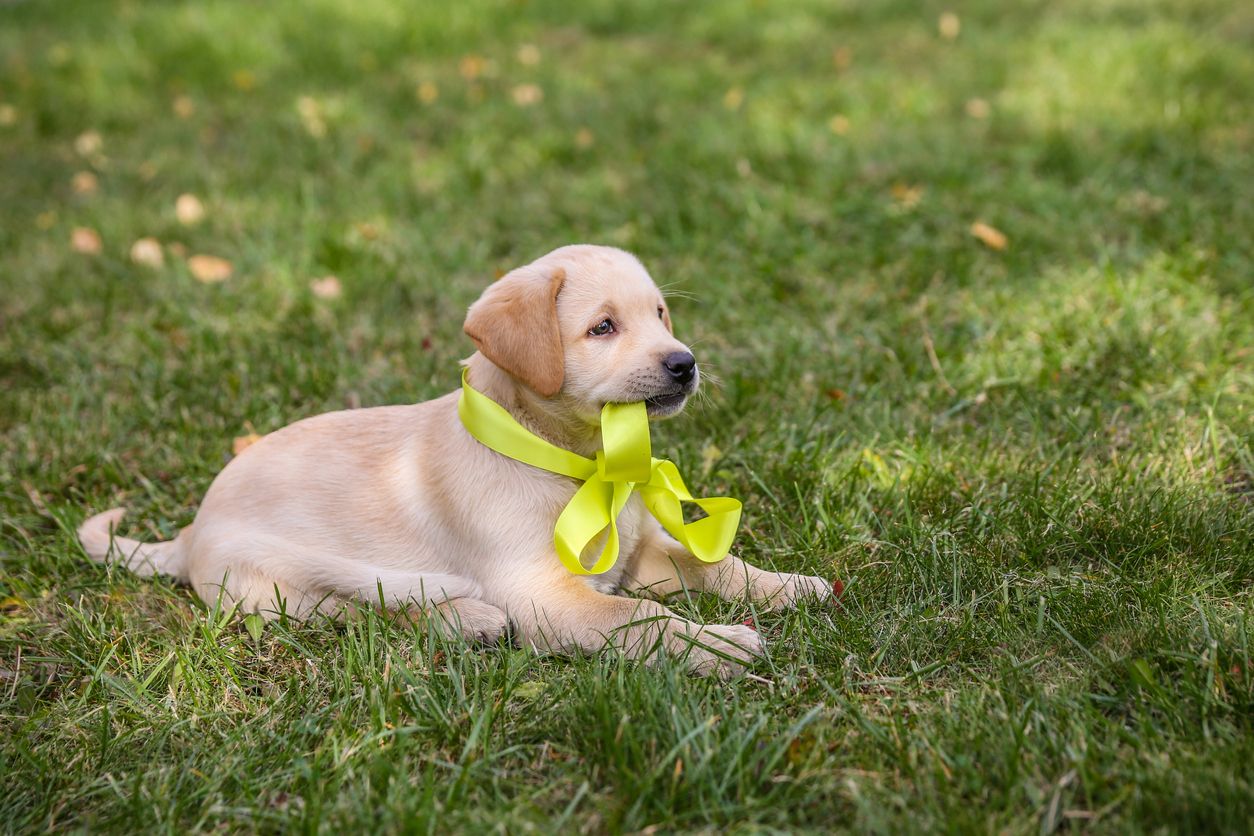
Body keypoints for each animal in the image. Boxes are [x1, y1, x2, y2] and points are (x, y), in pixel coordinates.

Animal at [83, 245, 837, 676]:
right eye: (603, 327)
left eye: (659, 315)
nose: (685, 364)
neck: (574, 462)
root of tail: (188, 534)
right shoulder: (544, 595)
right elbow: (638, 620)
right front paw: (720, 646)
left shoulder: (641, 554)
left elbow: (714, 563)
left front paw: (790, 586)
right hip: (280, 589)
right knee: (360, 614)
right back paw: (469, 620)